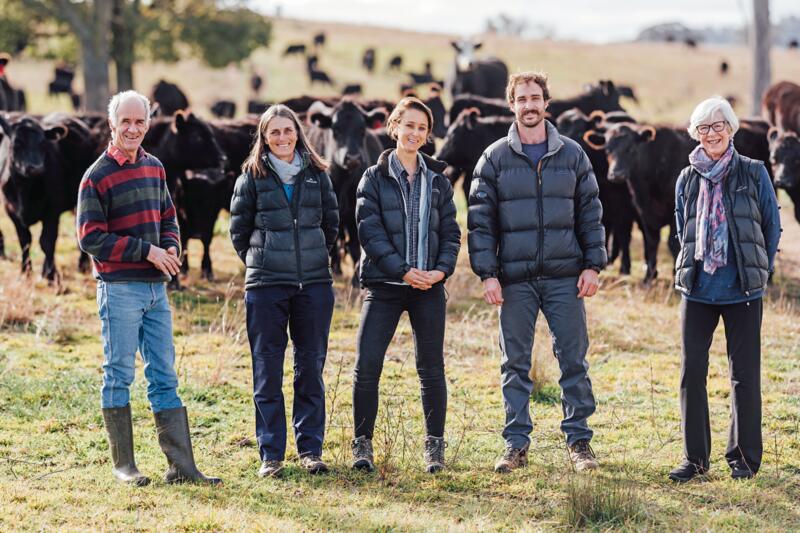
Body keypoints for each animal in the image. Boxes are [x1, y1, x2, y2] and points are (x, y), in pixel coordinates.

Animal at [308, 101, 386, 282]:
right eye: (336, 129)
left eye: (362, 130)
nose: (353, 158)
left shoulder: (355, 214)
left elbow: (355, 246)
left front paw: (356, 281)